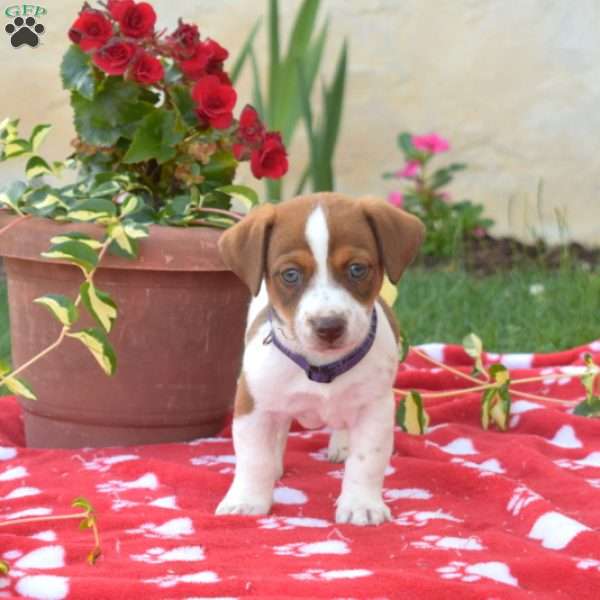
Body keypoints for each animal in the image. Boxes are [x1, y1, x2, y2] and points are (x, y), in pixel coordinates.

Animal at [213, 192, 424, 524]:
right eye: (290, 274)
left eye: (357, 269)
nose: (329, 326)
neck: (322, 368)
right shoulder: (253, 403)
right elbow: (254, 457)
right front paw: (246, 500)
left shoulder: (375, 407)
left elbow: (367, 460)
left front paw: (361, 504)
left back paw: (342, 444)